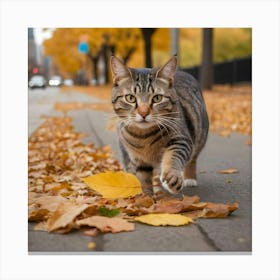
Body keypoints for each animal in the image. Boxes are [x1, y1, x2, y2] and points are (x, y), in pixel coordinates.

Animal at [109, 55, 208, 195]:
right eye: (130, 98)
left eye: (157, 98)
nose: (143, 113)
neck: (143, 137)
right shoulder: (137, 159)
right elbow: (143, 180)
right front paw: (147, 197)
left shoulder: (181, 139)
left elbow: (173, 156)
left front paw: (172, 177)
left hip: (200, 135)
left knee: (193, 157)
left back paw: (189, 178)